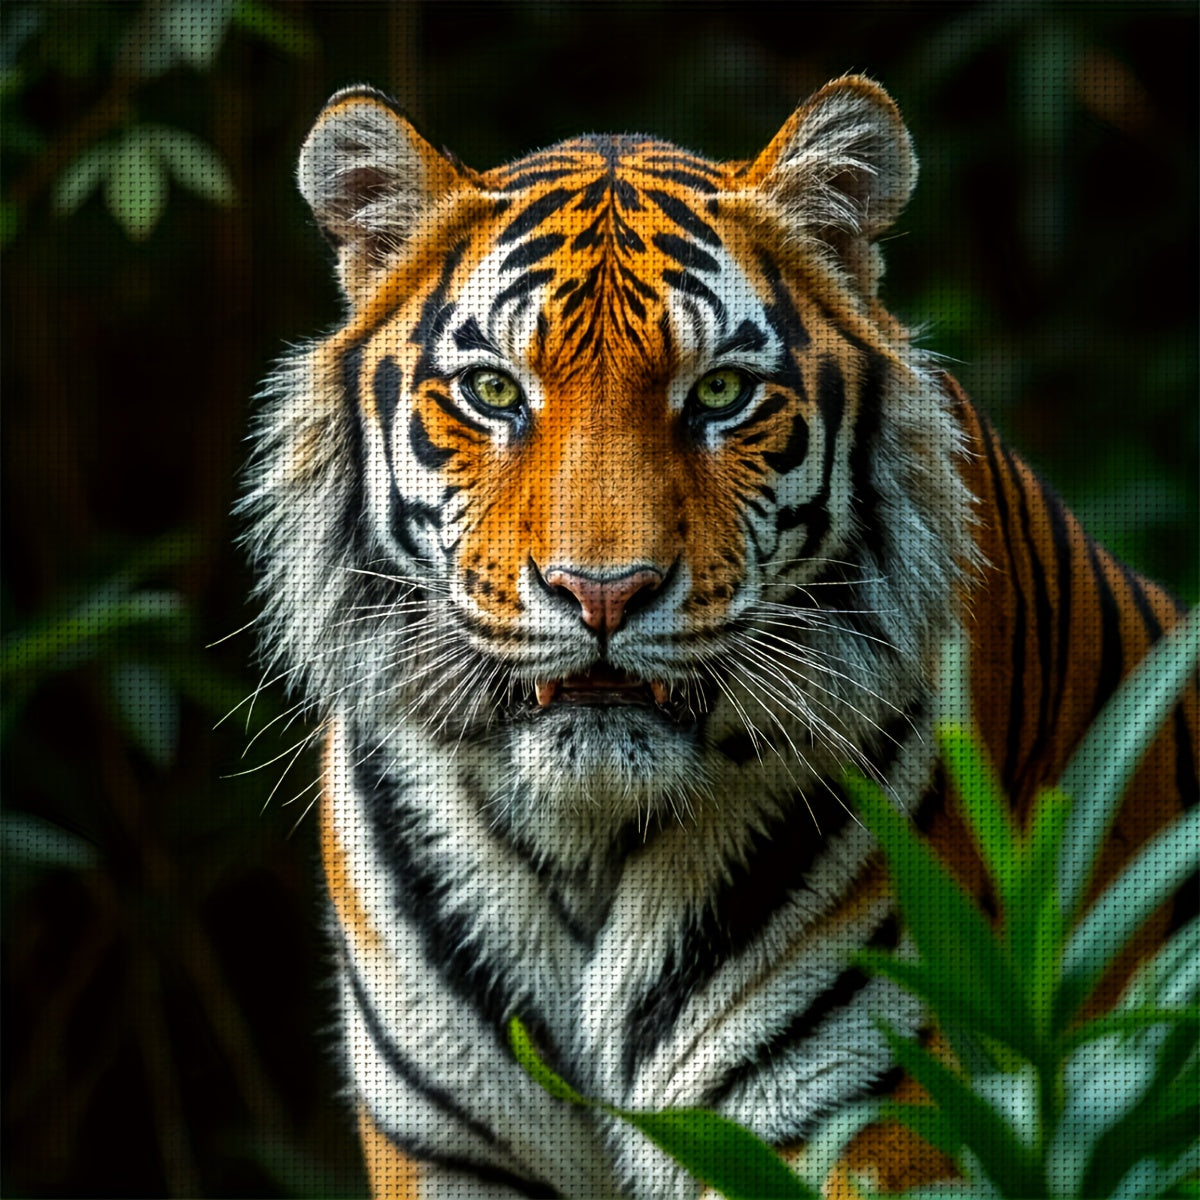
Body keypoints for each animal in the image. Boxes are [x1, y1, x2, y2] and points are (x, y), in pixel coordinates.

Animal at [240, 76, 1197, 1198]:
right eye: (494, 392)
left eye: (720, 394)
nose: (602, 593)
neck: (583, 851)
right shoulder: (440, 1145)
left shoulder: (864, 1117)